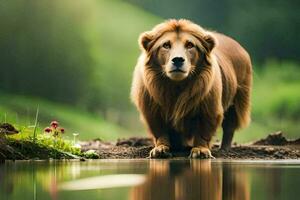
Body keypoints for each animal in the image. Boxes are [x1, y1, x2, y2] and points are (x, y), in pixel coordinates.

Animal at [130, 19, 252, 159]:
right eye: (166, 45)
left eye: (189, 45)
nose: (178, 59)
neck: (176, 85)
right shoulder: (152, 108)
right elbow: (160, 131)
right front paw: (160, 149)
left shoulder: (209, 108)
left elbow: (204, 131)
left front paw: (200, 150)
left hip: (237, 100)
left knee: (229, 127)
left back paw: (224, 149)